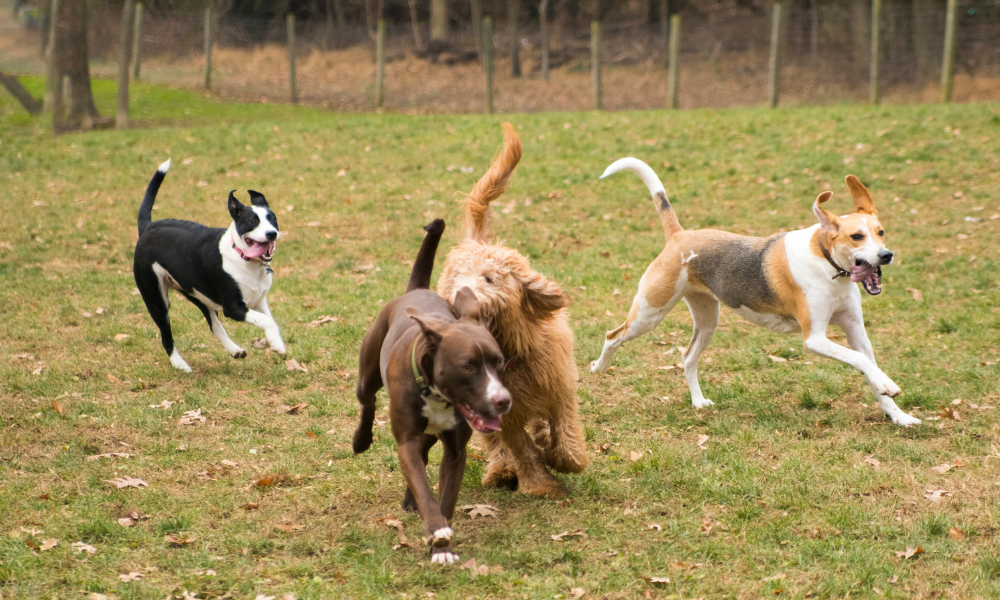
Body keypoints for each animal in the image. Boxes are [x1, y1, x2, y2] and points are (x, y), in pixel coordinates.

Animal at [133, 158, 286, 370]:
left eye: (273, 219)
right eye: (252, 221)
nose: (272, 233)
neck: (242, 258)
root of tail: (148, 228)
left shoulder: (258, 301)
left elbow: (271, 322)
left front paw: (265, 341)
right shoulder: (234, 307)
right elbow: (266, 321)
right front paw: (275, 344)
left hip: (197, 294)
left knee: (214, 325)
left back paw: (235, 350)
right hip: (156, 299)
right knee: (166, 335)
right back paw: (180, 364)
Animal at [354, 219, 512, 564]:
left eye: (499, 362)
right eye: (468, 367)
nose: (503, 400)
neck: (437, 395)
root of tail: (416, 290)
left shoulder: (455, 451)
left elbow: (446, 498)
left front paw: (444, 547)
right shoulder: (407, 440)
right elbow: (425, 488)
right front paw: (437, 534)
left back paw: (408, 500)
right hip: (367, 375)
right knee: (367, 400)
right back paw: (361, 440)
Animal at [436, 123, 588, 496]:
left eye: (489, 278)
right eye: (454, 279)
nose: (459, 296)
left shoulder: (559, 386)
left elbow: (564, 430)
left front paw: (565, 458)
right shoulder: (501, 413)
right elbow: (519, 447)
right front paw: (540, 484)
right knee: (497, 446)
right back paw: (501, 470)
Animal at [588, 157, 916, 424]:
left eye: (881, 232)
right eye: (856, 236)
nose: (886, 255)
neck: (827, 263)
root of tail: (679, 235)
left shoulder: (856, 332)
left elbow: (870, 367)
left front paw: (898, 415)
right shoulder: (814, 339)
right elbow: (862, 362)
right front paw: (889, 386)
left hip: (707, 320)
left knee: (688, 357)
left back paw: (698, 402)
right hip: (650, 312)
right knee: (613, 336)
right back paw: (598, 368)